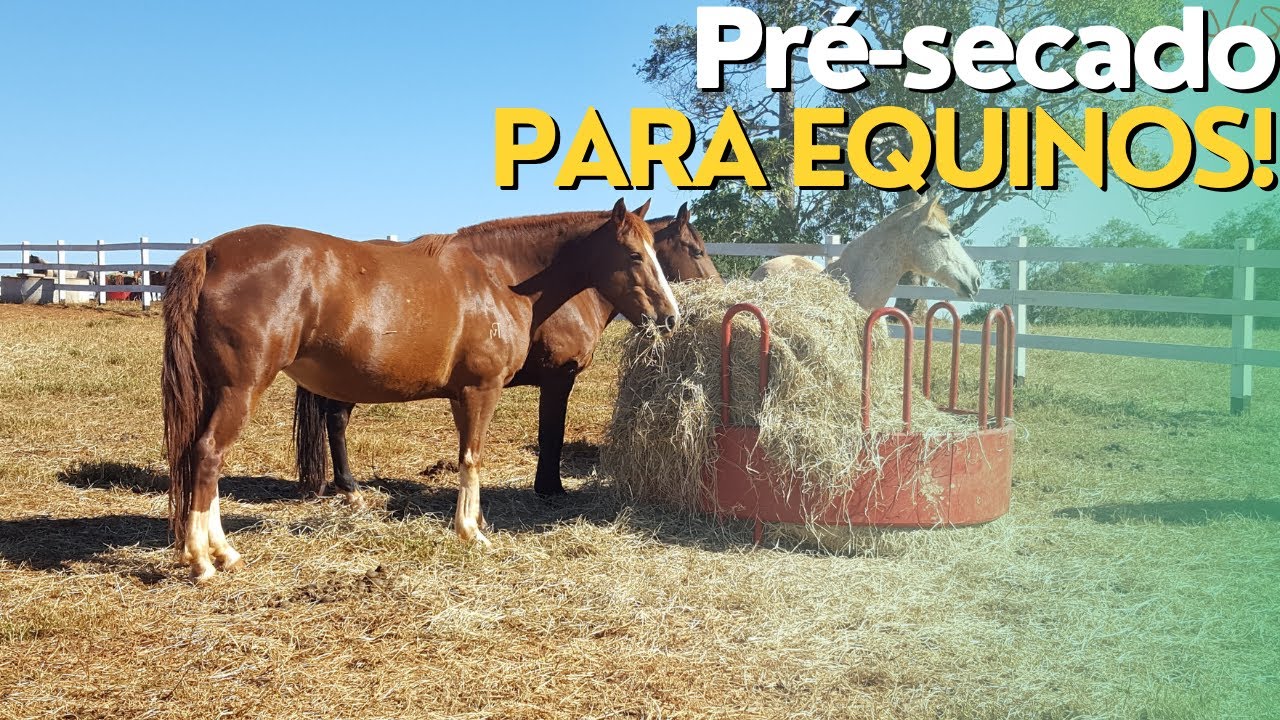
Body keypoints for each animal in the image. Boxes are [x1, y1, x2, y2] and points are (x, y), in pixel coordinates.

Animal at [293, 202, 721, 503]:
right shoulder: (558, 377)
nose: (670, 317)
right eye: (694, 250)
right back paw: (349, 487)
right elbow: (552, 433)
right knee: (337, 421)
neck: (513, 281)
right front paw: (550, 487)